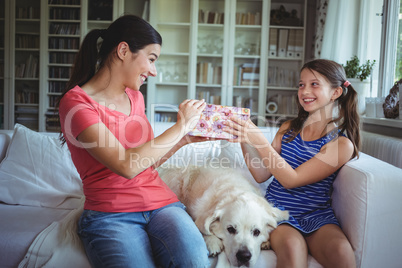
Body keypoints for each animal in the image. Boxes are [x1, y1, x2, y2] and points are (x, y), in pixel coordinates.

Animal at [157, 164, 288, 266]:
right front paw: (212, 241)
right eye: (230, 229)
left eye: (256, 232)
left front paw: (265, 242)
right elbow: (202, 226)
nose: (244, 256)